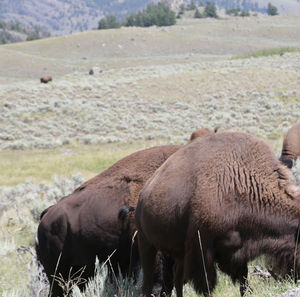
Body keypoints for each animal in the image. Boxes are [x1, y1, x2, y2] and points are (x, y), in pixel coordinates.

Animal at [136, 132, 300, 296]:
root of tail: (144, 193)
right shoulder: (202, 251)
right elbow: (207, 285)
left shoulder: (237, 252)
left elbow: (243, 281)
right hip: (146, 244)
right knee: (148, 281)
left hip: (178, 253)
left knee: (177, 280)